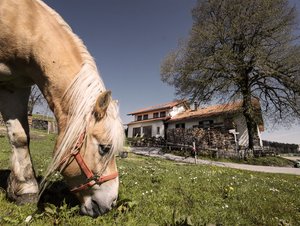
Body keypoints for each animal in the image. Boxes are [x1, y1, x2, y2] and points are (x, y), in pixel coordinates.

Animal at [0, 0, 124, 217]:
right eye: (105, 148)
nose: (110, 204)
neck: (25, 23)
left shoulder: (14, 86)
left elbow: (20, 137)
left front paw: (25, 189)